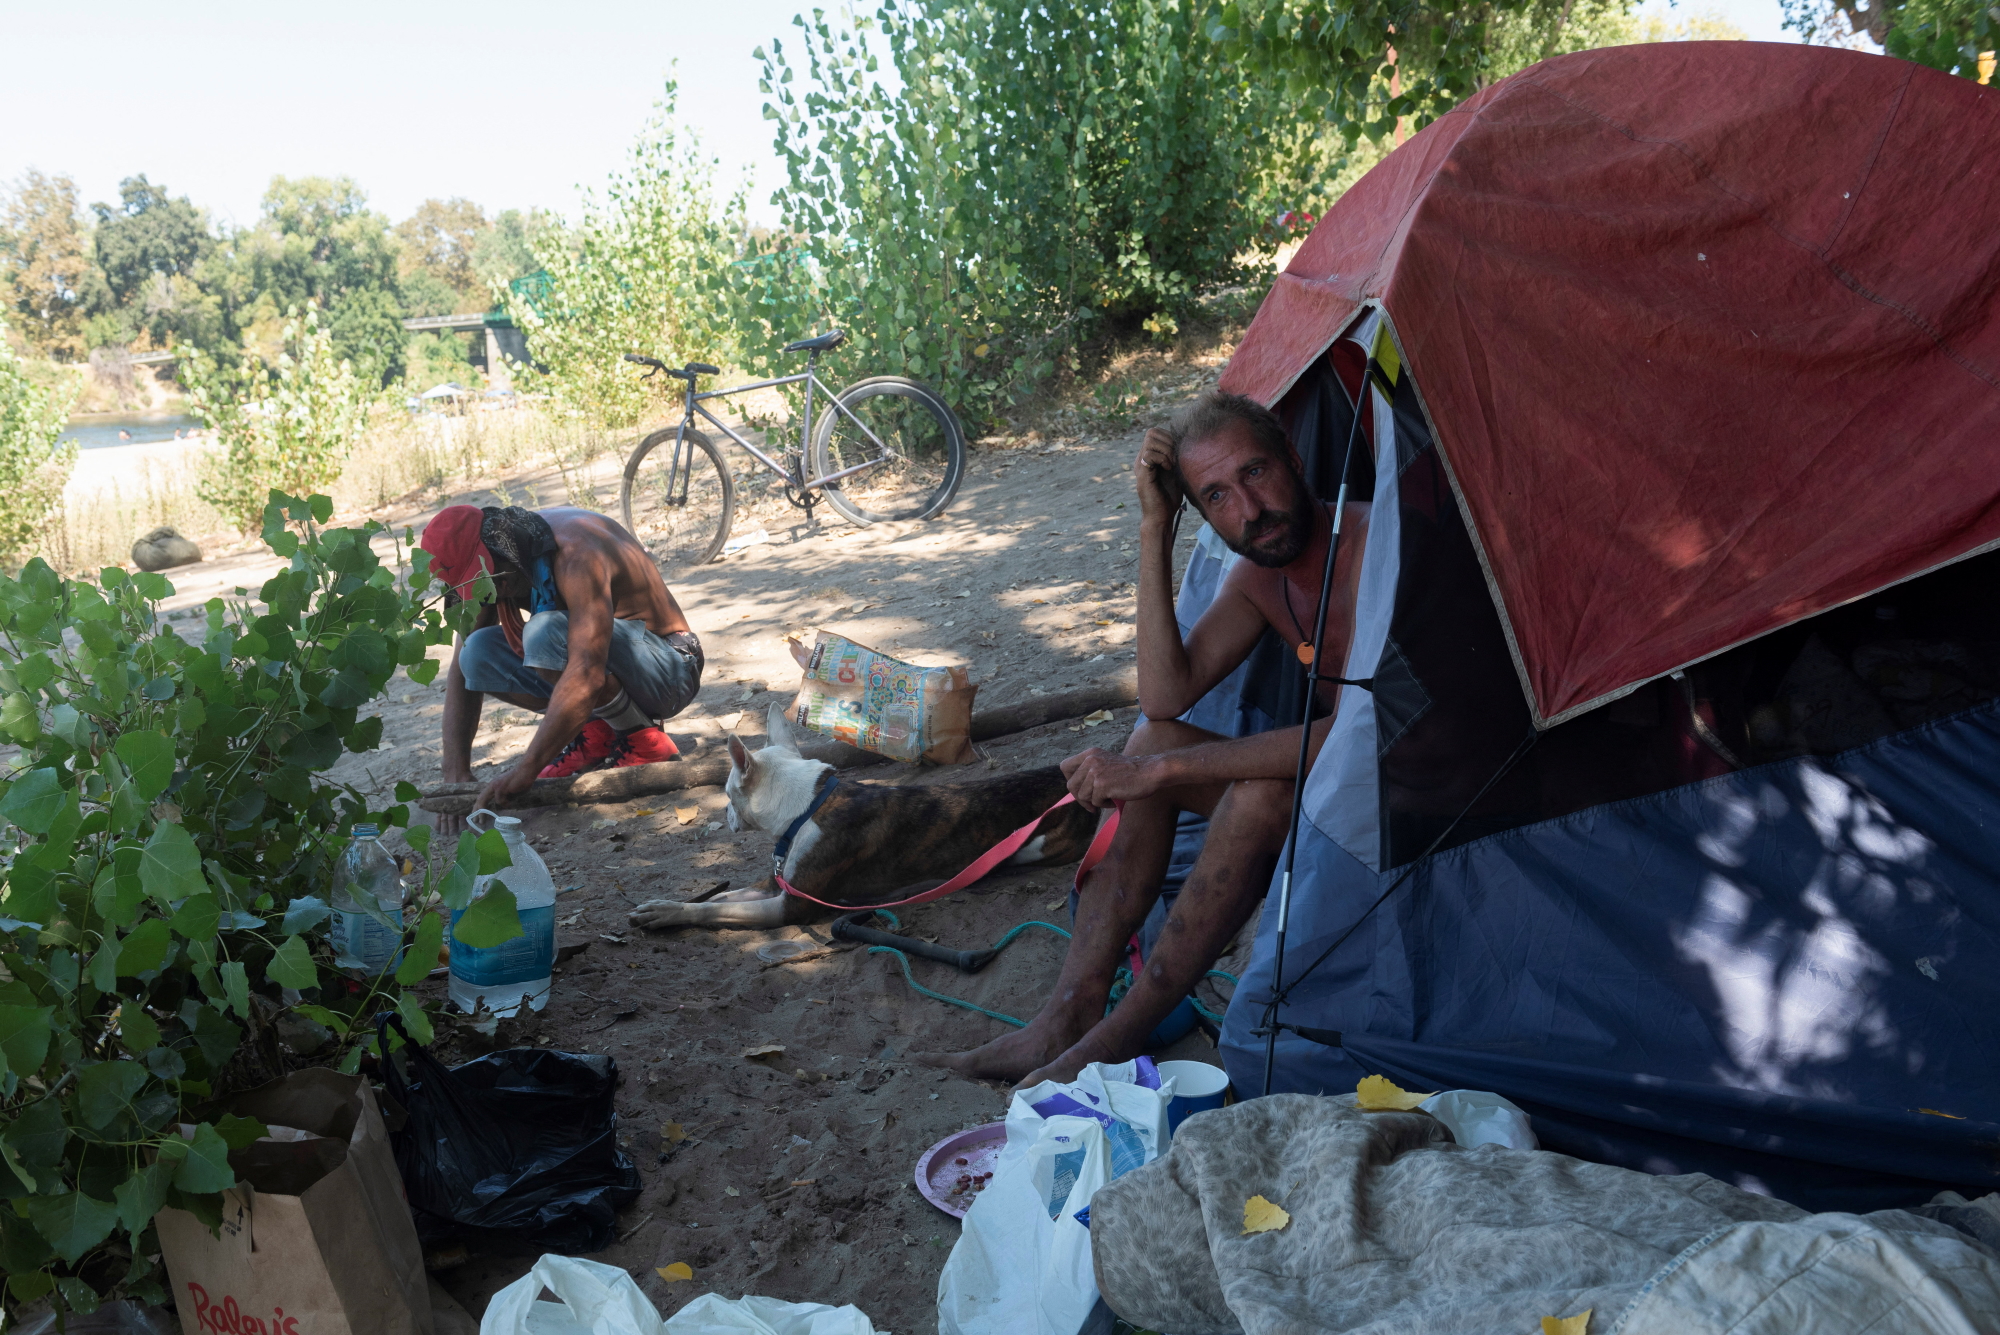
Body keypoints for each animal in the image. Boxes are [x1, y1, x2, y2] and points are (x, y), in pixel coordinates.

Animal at [628, 707, 1104, 927]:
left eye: (727, 793)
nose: (726, 814)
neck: (807, 806)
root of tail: (1065, 775)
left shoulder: (789, 906)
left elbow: (716, 911)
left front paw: (668, 915)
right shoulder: (776, 883)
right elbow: (720, 899)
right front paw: (670, 904)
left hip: (1035, 846)